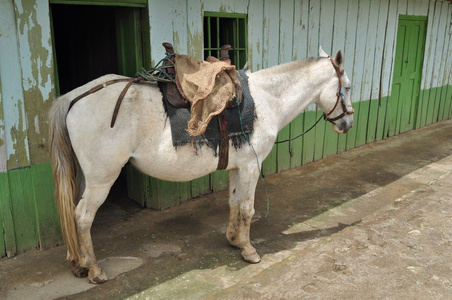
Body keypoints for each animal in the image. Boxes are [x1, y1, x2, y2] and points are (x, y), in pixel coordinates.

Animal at [49, 47, 354, 284]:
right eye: (348, 87)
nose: (348, 123)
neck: (265, 101)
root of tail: (76, 96)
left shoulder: (237, 167)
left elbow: (233, 203)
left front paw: (233, 240)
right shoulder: (251, 167)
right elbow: (247, 208)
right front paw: (249, 250)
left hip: (87, 178)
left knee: (73, 214)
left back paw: (77, 263)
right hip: (102, 179)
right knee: (83, 217)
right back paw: (94, 270)